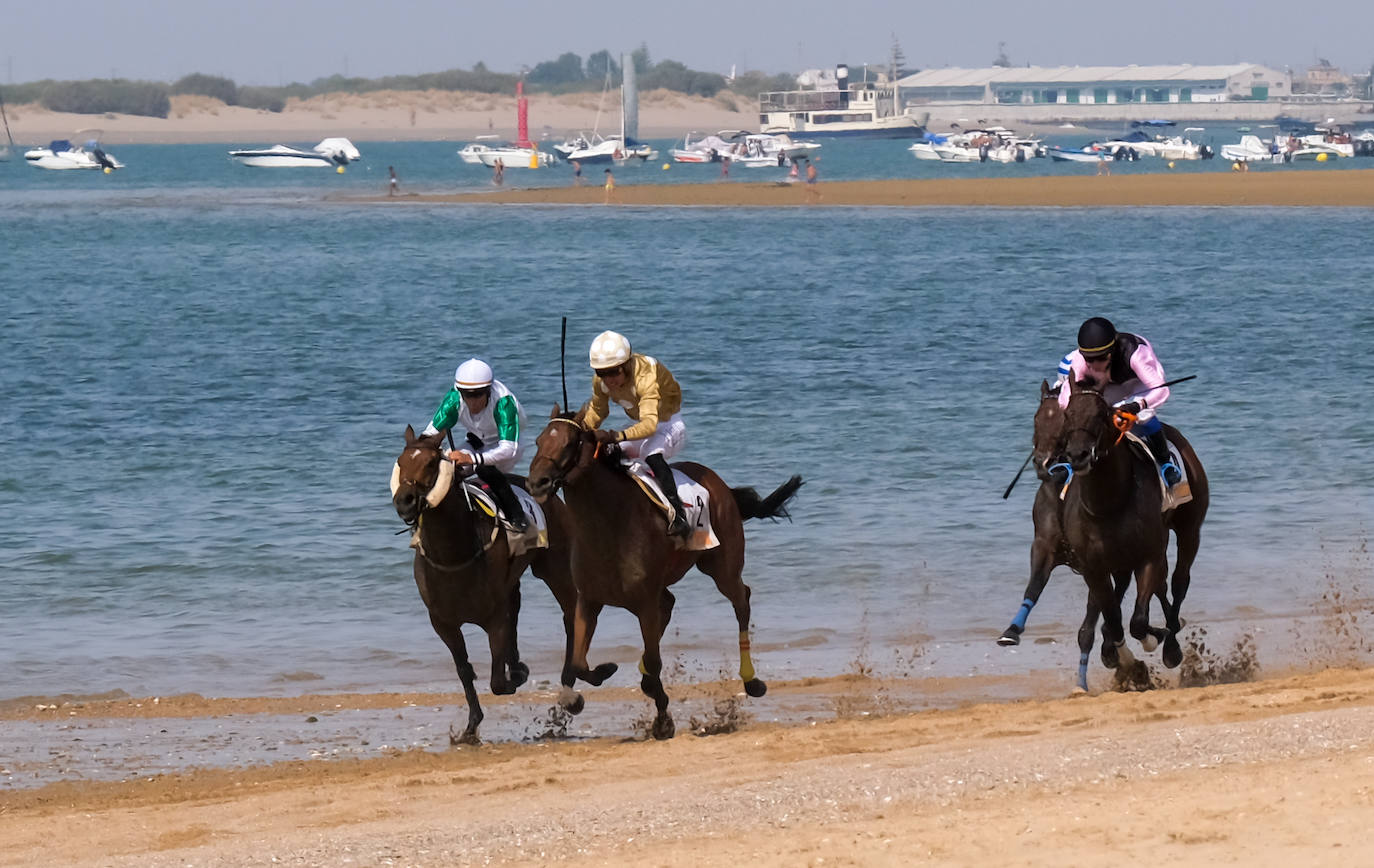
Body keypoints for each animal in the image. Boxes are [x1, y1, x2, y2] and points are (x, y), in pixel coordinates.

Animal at [391, 425, 577, 744]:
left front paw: (515, 675)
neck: (454, 554)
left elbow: (497, 681)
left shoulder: (494, 616)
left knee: (570, 615)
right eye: (401, 462)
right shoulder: (443, 622)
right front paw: (470, 727)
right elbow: (465, 670)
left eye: (430, 463)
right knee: (517, 612)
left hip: (556, 568)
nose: (404, 500)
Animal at [525, 406, 802, 740]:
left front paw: (662, 721)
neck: (608, 523)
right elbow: (579, 662)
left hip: (722, 566)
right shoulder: (589, 600)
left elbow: (655, 660)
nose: (536, 483)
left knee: (741, 601)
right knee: (670, 604)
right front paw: (594, 682)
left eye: (568, 444)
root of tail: (720, 484)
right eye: (538, 440)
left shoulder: (644, 602)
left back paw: (752, 681)